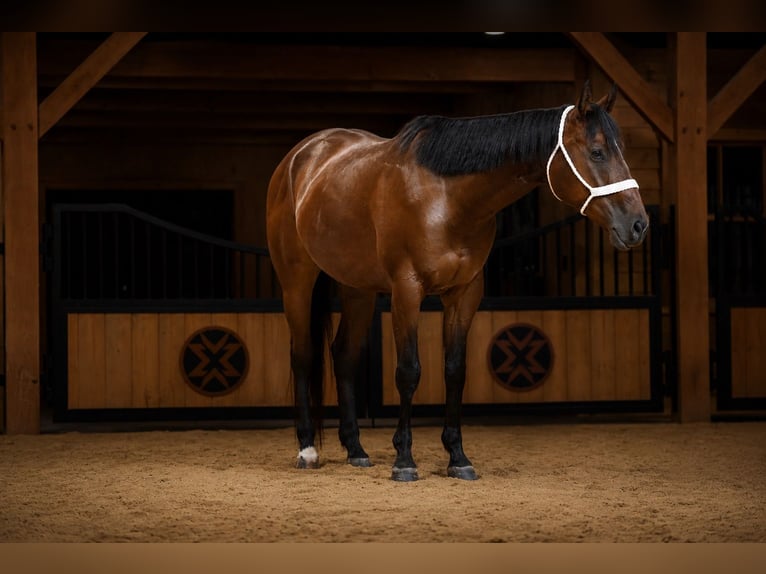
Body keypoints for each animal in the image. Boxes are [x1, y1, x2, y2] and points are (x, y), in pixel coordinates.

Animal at [266, 82, 649, 481]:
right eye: (597, 151)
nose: (638, 224)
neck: (446, 198)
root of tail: (301, 156)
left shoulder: (464, 294)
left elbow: (455, 371)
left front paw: (458, 457)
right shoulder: (407, 290)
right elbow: (409, 371)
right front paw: (404, 460)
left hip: (358, 289)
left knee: (343, 355)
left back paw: (356, 449)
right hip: (297, 280)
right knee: (302, 355)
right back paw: (307, 450)